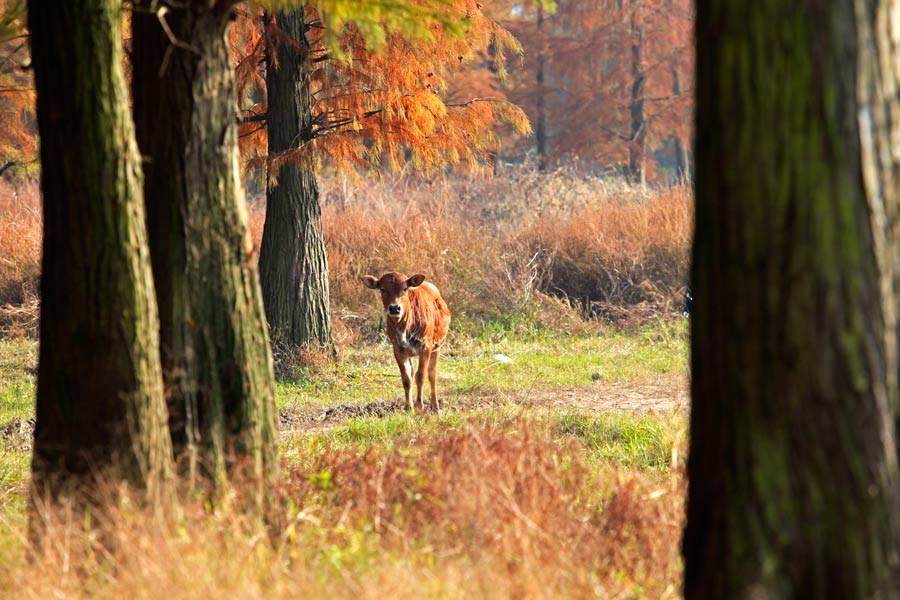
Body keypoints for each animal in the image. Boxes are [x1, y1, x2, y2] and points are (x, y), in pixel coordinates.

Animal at [364, 272, 454, 412]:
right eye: (382, 289)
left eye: (405, 289)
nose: (394, 308)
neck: (405, 327)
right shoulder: (398, 349)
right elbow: (406, 378)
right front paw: (408, 406)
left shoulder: (426, 347)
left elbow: (421, 376)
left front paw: (419, 405)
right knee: (412, 374)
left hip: (438, 346)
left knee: (432, 374)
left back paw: (434, 405)